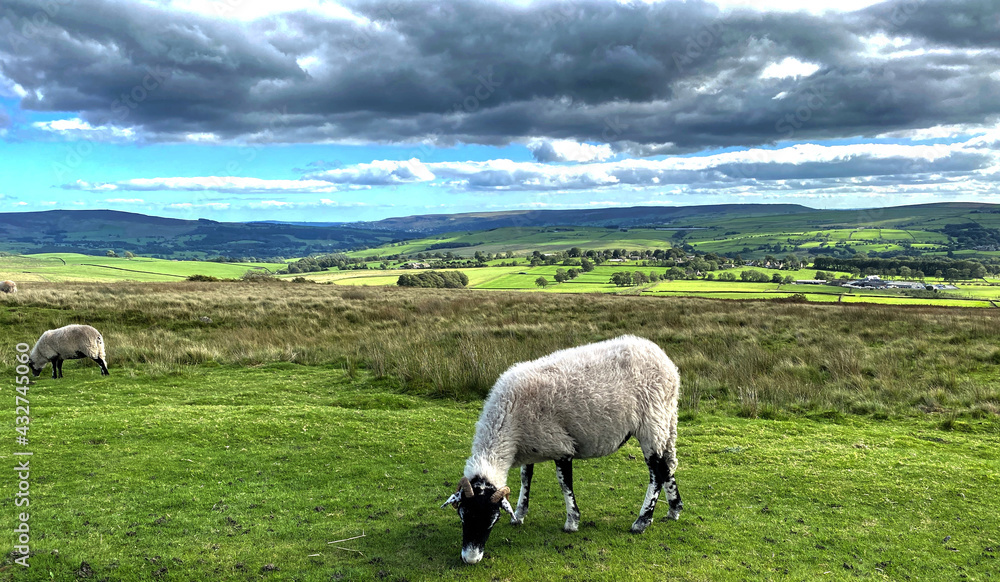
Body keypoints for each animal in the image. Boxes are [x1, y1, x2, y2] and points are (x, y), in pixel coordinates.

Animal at [444, 338, 684, 564]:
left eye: (493, 520)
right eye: (462, 516)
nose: (470, 559)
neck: (509, 418)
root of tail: (667, 363)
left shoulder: (561, 446)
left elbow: (564, 484)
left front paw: (572, 522)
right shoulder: (530, 445)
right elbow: (525, 478)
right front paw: (520, 514)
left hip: (651, 423)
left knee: (656, 472)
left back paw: (642, 522)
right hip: (666, 420)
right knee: (668, 465)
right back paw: (674, 509)